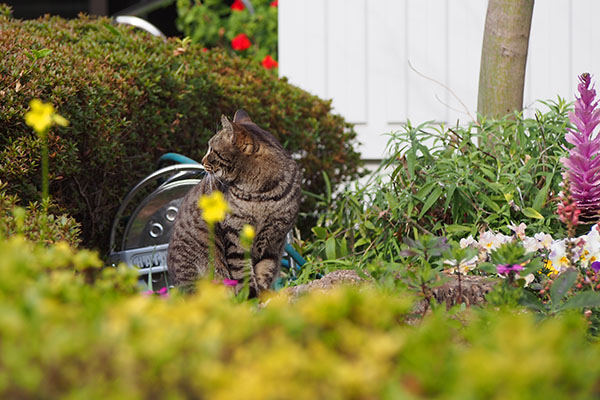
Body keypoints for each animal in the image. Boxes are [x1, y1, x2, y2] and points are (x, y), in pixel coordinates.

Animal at [168, 109, 300, 296]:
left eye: (211, 149)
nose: (201, 160)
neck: (262, 194)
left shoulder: (275, 240)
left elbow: (265, 270)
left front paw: (263, 295)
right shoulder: (236, 235)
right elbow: (242, 272)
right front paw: (250, 297)